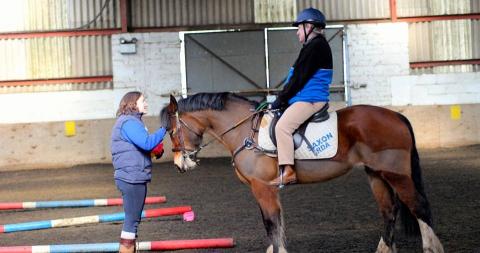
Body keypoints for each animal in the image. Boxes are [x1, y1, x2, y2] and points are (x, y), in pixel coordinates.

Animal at [159, 92, 444, 253]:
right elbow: (276, 225)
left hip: (395, 173)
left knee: (418, 206)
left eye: (172, 131)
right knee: (389, 210)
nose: (180, 164)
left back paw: (432, 248)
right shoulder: (267, 189)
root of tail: (396, 116)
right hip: (376, 174)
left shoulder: (262, 187)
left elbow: (271, 224)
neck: (244, 131)